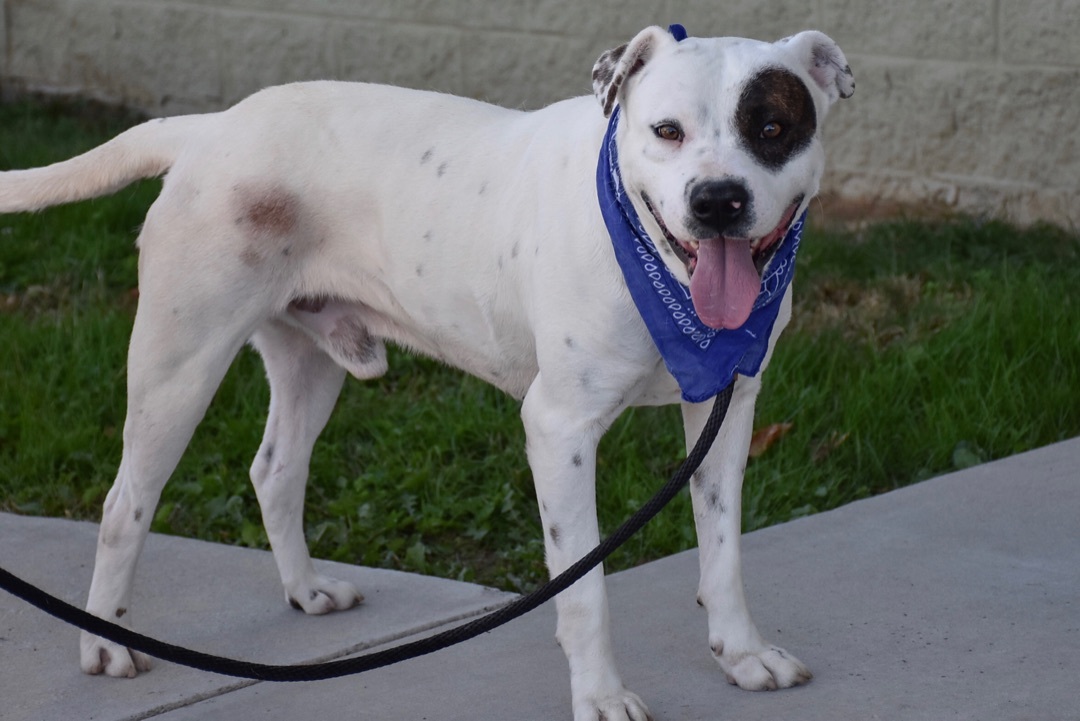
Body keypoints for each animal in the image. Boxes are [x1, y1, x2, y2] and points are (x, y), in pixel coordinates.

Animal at [2, 25, 851, 721]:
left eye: (771, 129)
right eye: (666, 131)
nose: (717, 201)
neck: (652, 259)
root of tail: (215, 125)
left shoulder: (728, 407)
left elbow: (725, 547)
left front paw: (742, 654)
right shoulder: (560, 428)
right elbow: (584, 588)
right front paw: (601, 696)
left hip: (309, 363)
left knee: (274, 470)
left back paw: (306, 589)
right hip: (179, 364)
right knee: (125, 503)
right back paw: (106, 643)